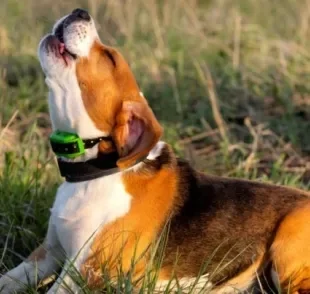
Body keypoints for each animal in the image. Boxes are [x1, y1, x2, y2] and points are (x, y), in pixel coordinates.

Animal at [0, 8, 310, 294]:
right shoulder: (46, 255)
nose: (81, 11)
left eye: (109, 58)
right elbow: (8, 279)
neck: (94, 172)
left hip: (286, 255)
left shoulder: (81, 273)